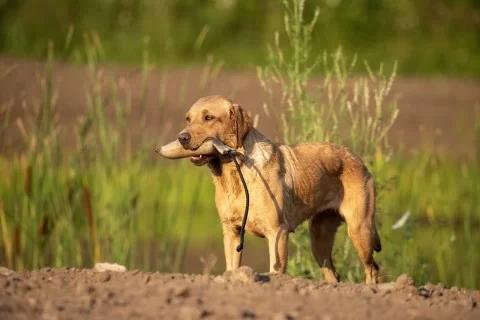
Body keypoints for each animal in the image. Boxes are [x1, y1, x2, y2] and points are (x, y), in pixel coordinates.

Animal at [158, 95, 382, 284]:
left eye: (208, 117)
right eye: (188, 119)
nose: (182, 138)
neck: (234, 174)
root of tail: (357, 158)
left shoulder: (277, 233)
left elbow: (276, 271)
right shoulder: (231, 231)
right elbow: (232, 267)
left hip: (359, 229)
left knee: (372, 268)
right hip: (319, 238)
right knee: (332, 273)